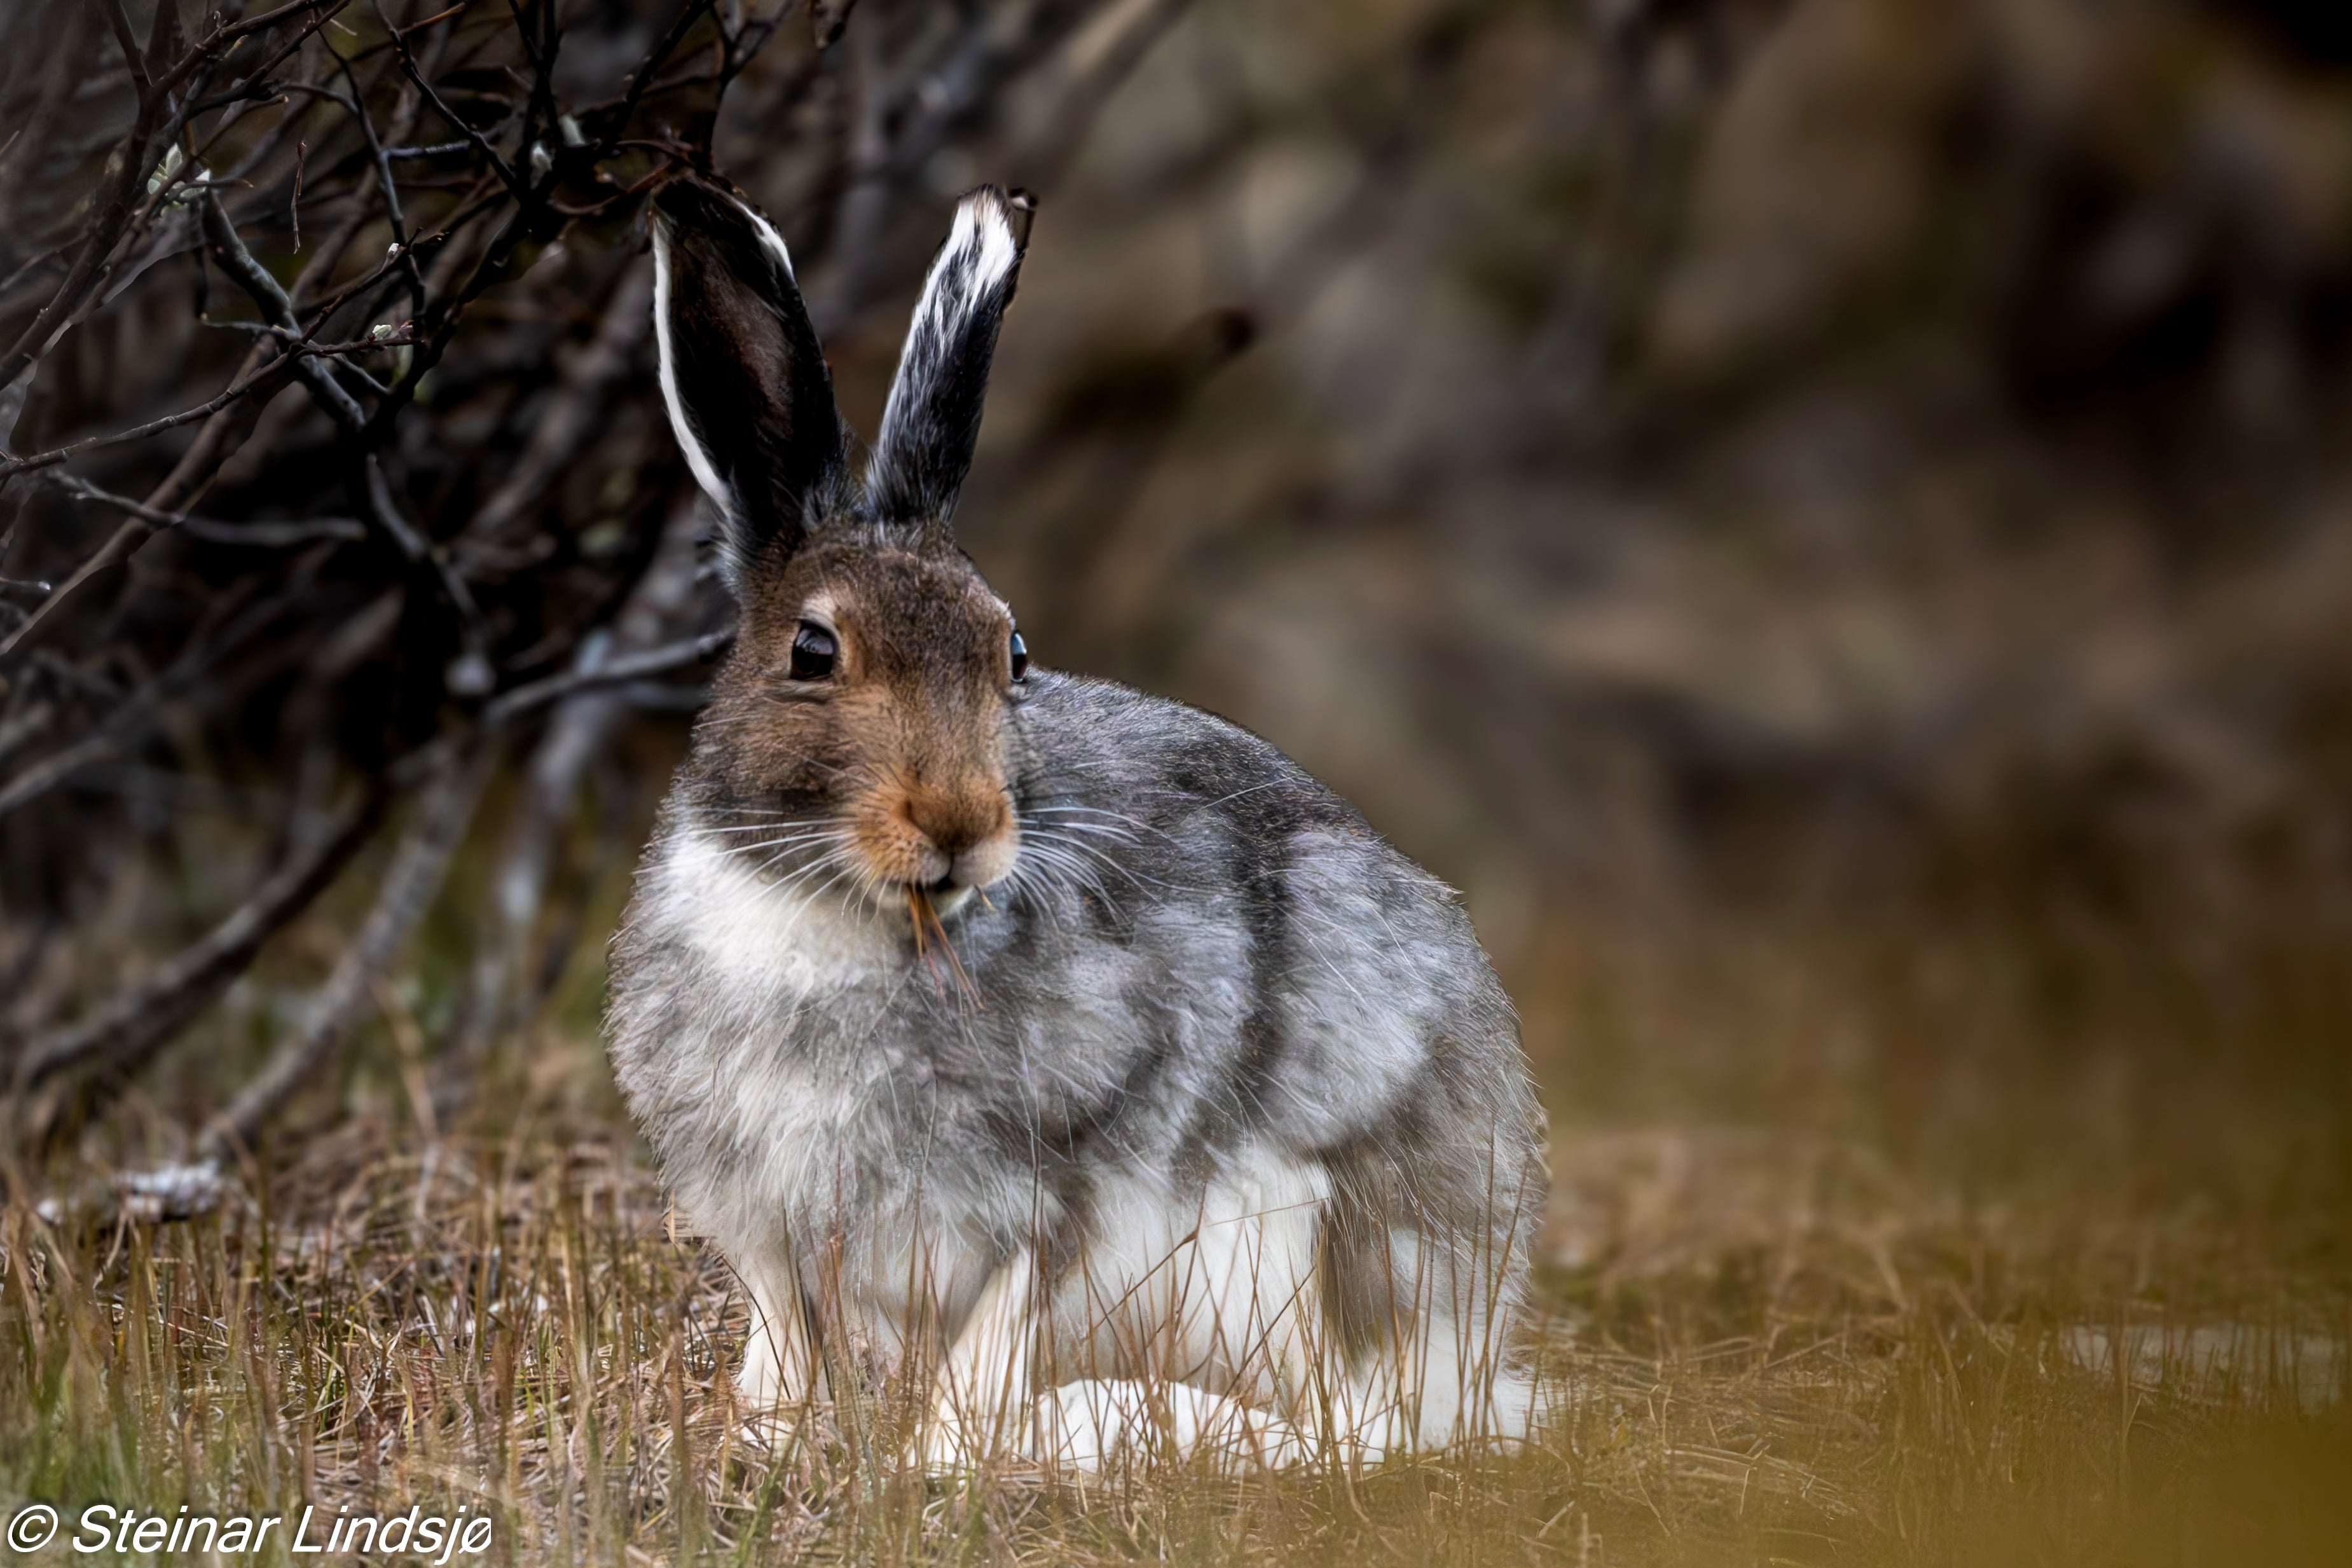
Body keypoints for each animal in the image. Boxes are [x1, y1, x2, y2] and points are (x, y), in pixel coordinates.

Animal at [605, 171, 1547, 1471]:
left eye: (1012, 652)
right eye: (811, 650)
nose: (961, 823)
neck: (837, 919)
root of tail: (1475, 1347)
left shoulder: (1066, 1186)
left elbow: (992, 1339)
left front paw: (936, 1462)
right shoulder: (766, 1220)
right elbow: (787, 1334)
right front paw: (774, 1434)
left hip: (1296, 1249)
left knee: (1336, 1420)